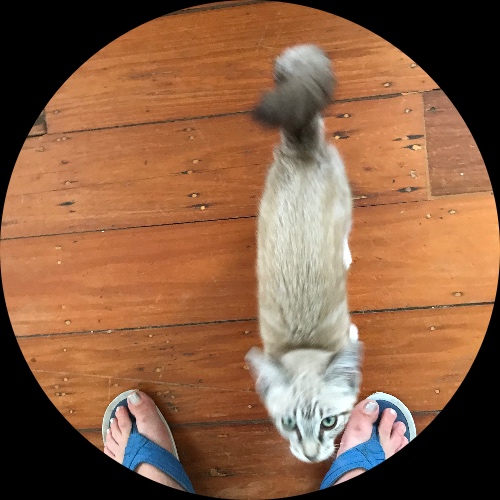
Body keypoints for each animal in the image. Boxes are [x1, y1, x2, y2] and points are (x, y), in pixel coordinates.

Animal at [245, 44, 363, 463]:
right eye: (288, 424)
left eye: (330, 422)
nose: (311, 455)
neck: (304, 344)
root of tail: (300, 146)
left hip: (345, 204)